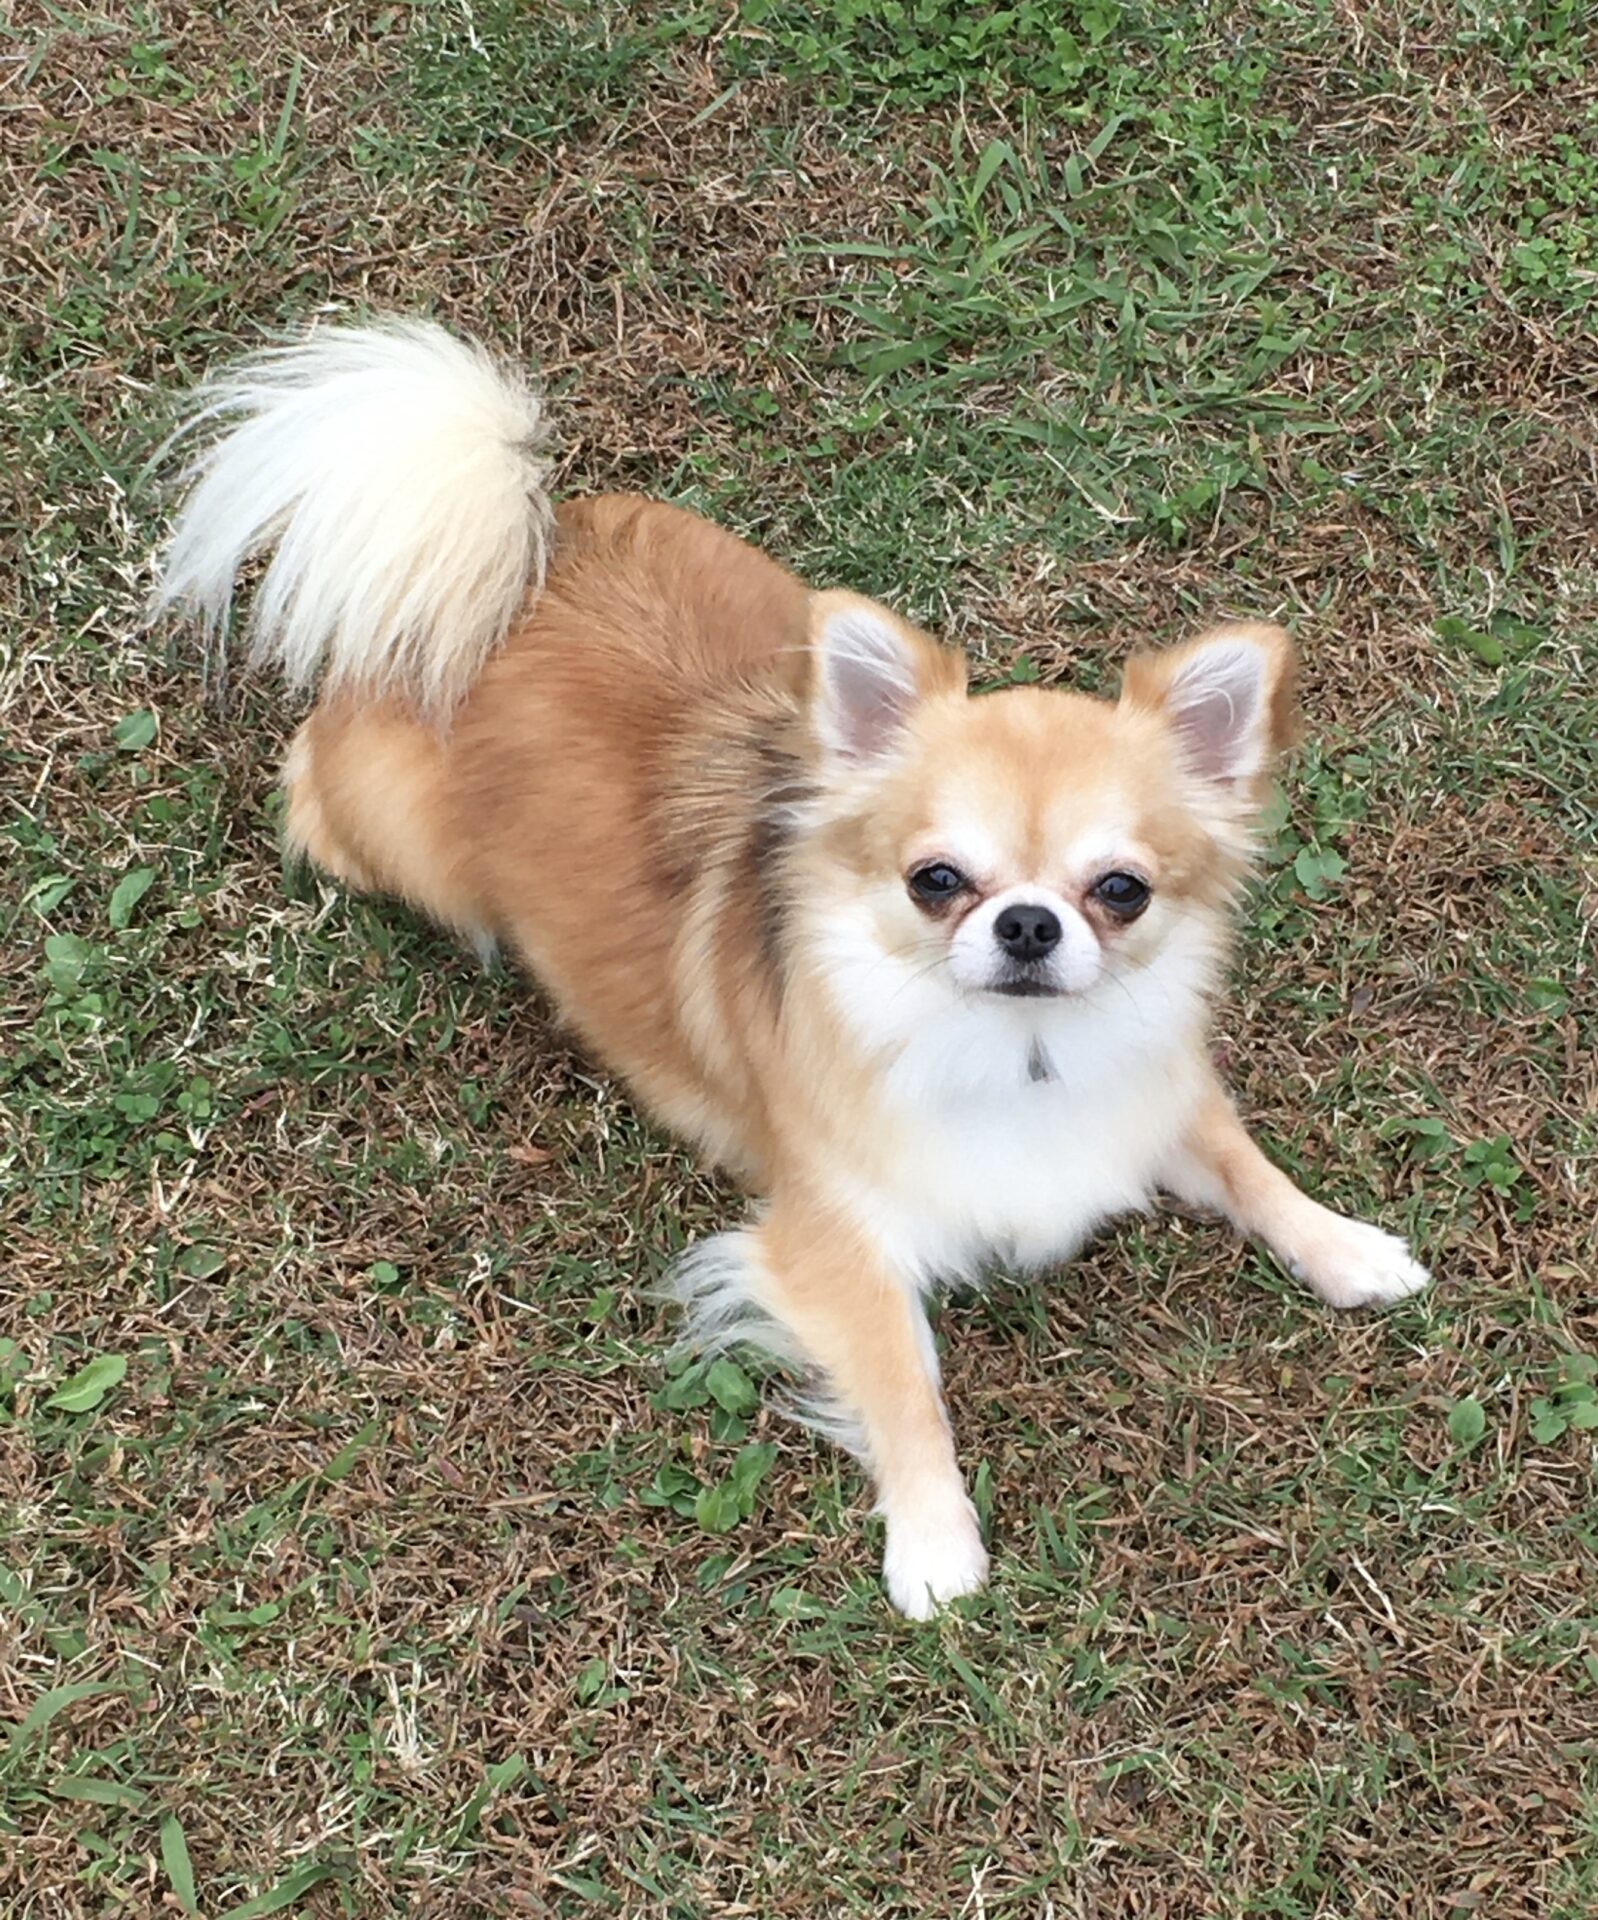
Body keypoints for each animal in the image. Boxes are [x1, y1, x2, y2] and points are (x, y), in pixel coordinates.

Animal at [150, 318, 1431, 1617]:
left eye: (1118, 891)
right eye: (935, 880)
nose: (1026, 925)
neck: (1014, 1052)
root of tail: (521, 571)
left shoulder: (1151, 1095)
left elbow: (1244, 1163)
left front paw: (1345, 1247)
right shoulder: (831, 1237)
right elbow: (905, 1386)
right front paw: (934, 1544)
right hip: (400, 840)